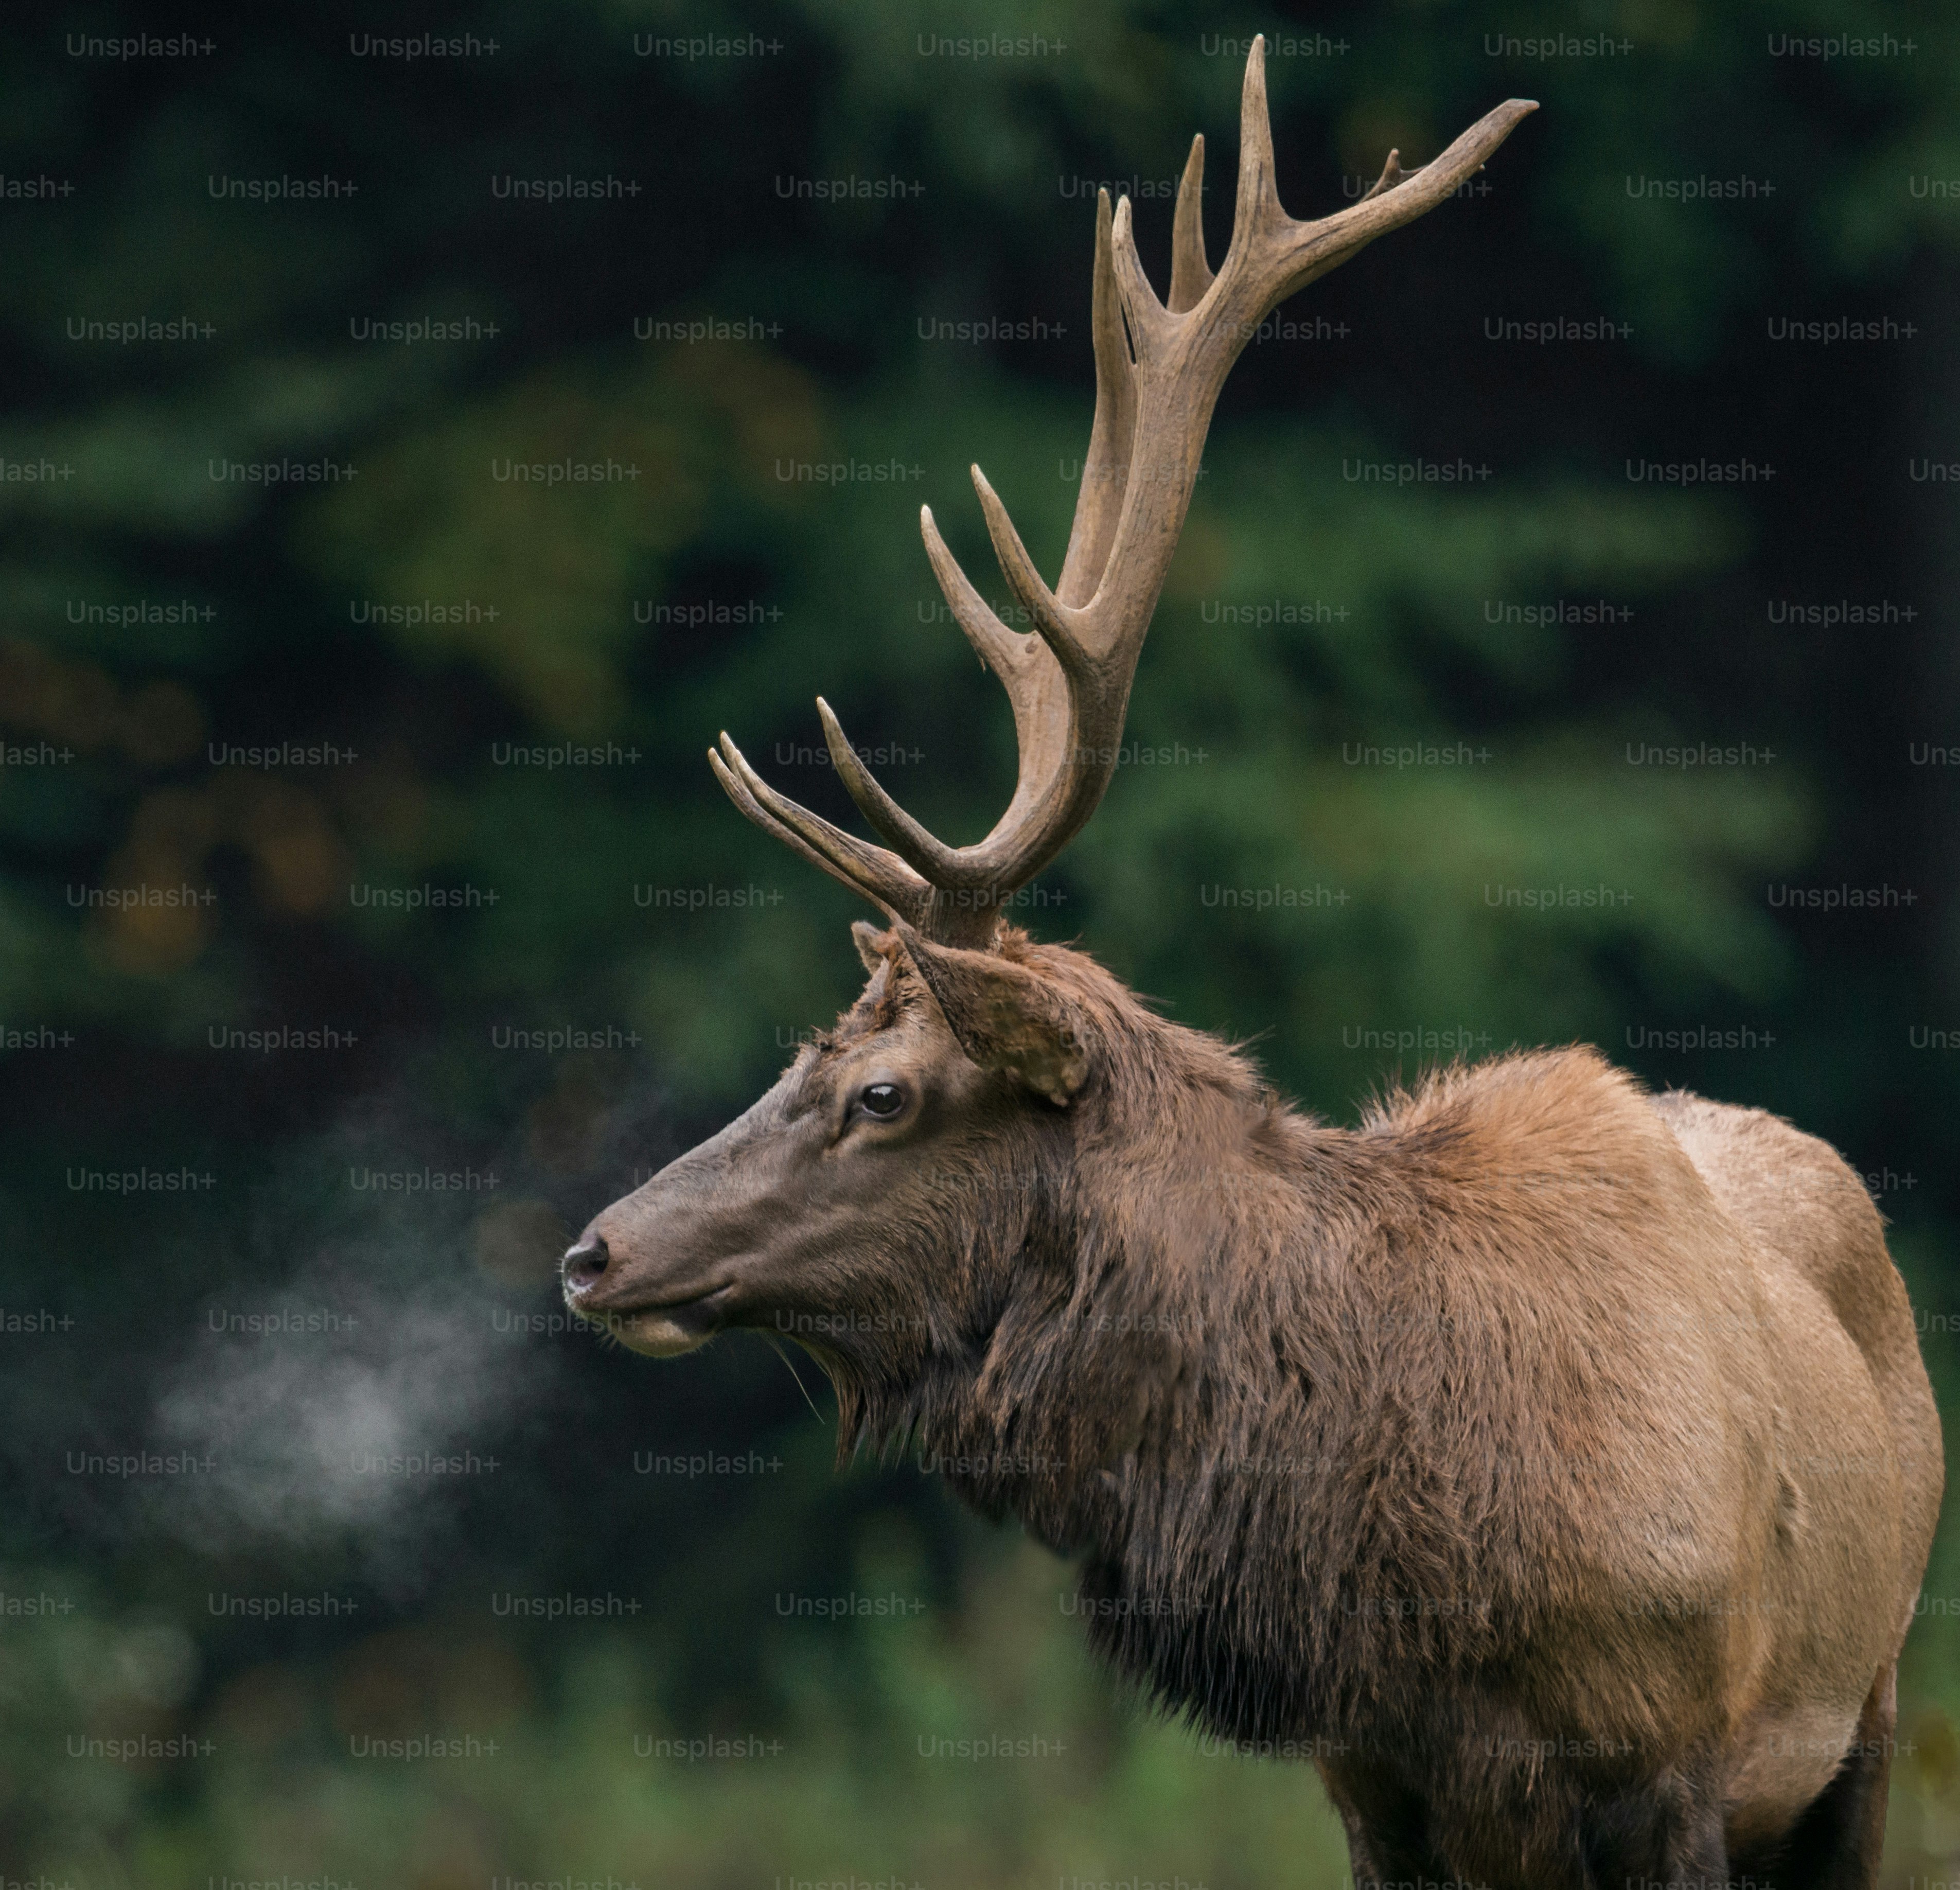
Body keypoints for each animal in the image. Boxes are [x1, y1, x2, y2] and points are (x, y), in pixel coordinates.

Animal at [563, 40, 1942, 1890]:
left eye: (882, 1091)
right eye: (805, 1051)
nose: (595, 1251)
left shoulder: (1674, 1759)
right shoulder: (1372, 1784)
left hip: (1862, 1704)